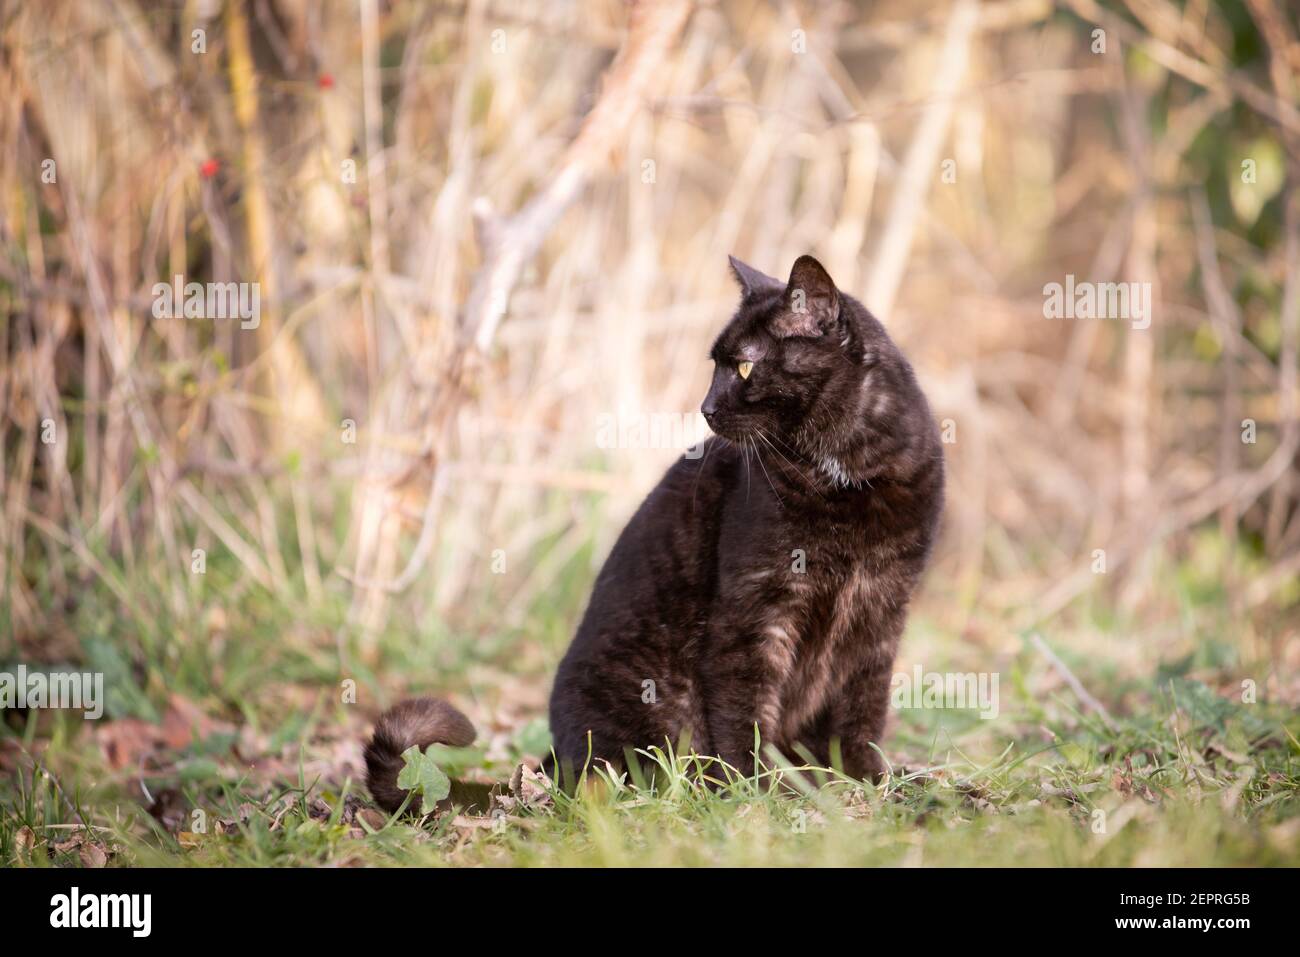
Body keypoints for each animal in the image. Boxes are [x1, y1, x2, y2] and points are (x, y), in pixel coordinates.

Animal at [366, 254, 946, 806]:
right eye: (716, 367)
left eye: (744, 365)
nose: (705, 407)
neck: (848, 477)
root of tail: (554, 767)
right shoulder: (755, 614)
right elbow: (745, 716)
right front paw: (758, 793)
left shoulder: (881, 610)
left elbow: (862, 713)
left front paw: (868, 783)